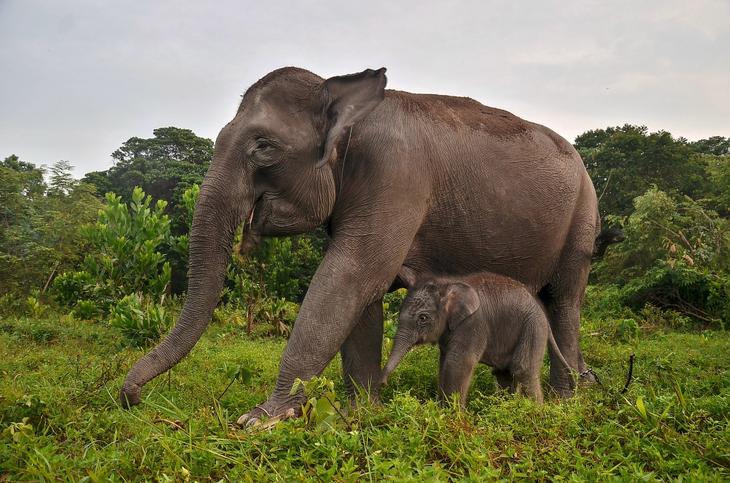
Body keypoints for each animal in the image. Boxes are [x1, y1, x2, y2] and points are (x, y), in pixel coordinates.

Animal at [382, 270, 568, 406]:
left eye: (423, 318)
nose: (383, 383)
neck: (448, 284)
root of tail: (543, 315)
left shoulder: (473, 324)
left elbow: (458, 362)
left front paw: (452, 417)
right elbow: (444, 363)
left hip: (533, 327)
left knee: (523, 369)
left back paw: (535, 412)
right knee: (503, 373)